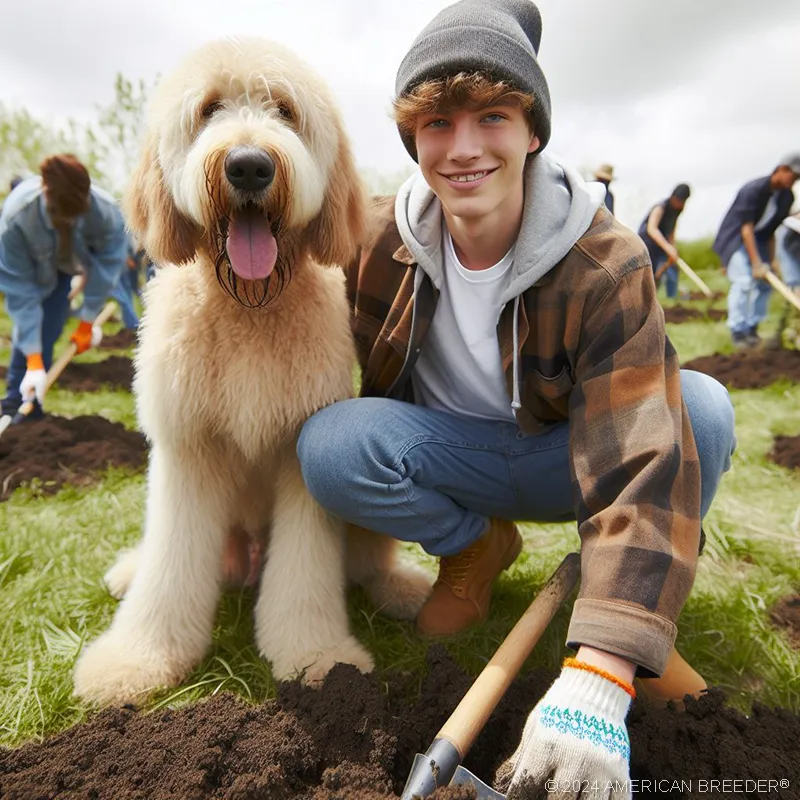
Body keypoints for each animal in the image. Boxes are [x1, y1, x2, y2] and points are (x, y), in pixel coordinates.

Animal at [74, 36, 434, 708]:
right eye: (209, 109)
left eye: (285, 110)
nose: (247, 166)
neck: (248, 304)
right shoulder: (186, 451)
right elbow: (170, 570)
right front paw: (136, 660)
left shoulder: (301, 453)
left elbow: (305, 575)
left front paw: (317, 657)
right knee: (160, 558)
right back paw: (130, 570)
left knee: (366, 560)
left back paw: (400, 586)